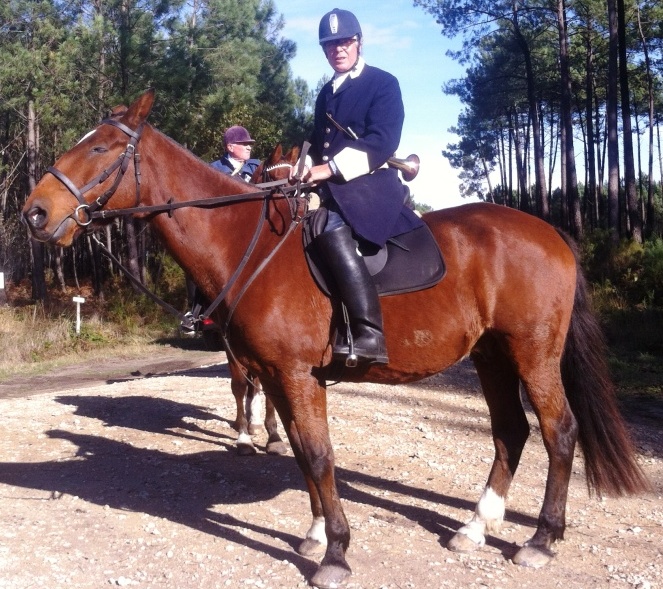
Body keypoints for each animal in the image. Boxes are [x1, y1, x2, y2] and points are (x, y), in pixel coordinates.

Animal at [24, 88, 648, 588]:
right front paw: (318, 533)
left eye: (102, 148)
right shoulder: (277, 377)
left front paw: (337, 554)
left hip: (532, 353)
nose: (34, 214)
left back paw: (540, 540)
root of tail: (552, 233)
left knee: (558, 432)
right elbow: (303, 453)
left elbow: (321, 455)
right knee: (510, 432)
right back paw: (474, 527)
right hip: (491, 354)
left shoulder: (297, 375)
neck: (246, 243)